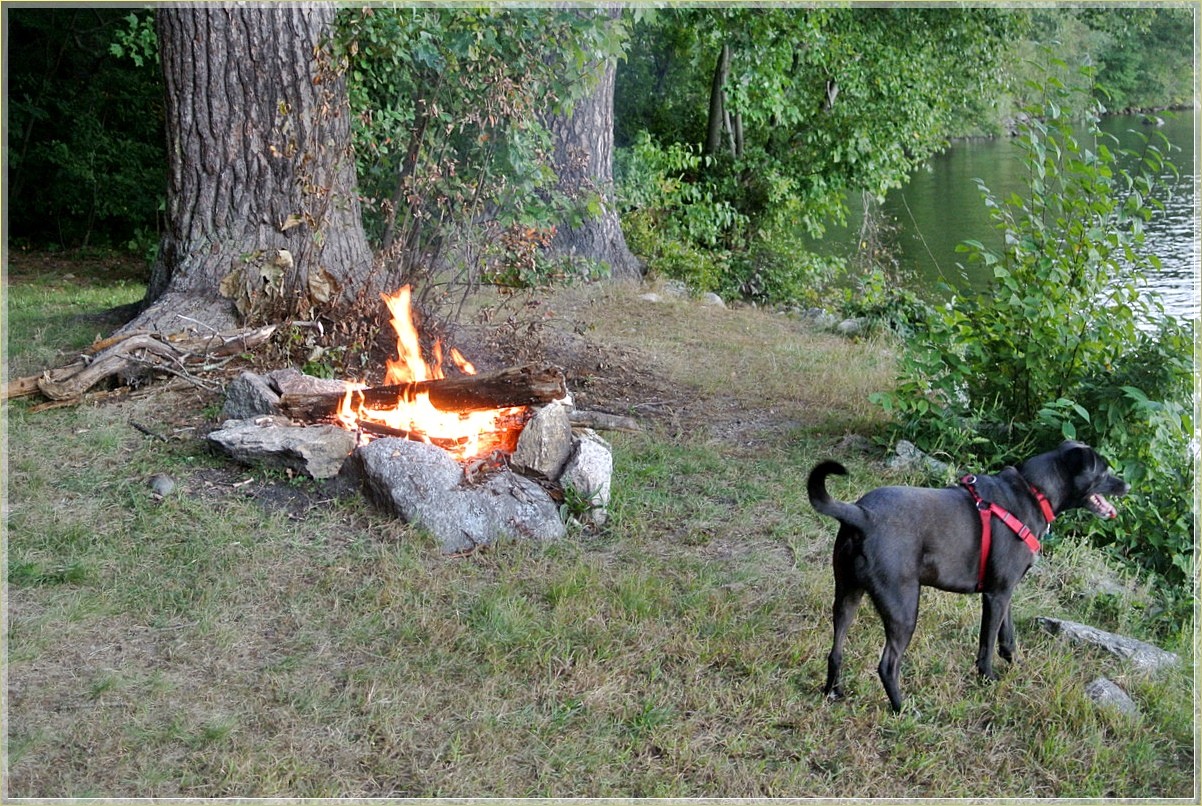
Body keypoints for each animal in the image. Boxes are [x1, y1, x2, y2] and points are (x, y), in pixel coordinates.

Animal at [807, 442, 1125, 711]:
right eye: (1103, 470)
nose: (1127, 484)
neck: (1035, 492)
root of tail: (861, 514)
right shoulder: (996, 596)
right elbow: (987, 643)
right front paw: (988, 679)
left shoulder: (1005, 592)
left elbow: (1008, 637)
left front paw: (1017, 666)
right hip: (903, 608)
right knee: (888, 665)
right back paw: (903, 708)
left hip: (847, 594)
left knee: (835, 651)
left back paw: (833, 691)